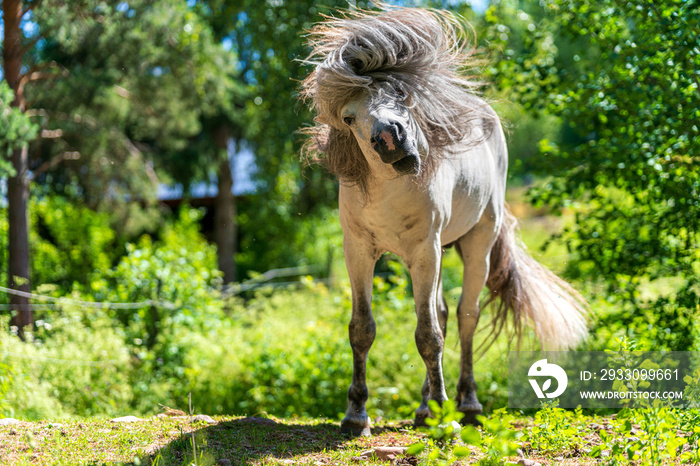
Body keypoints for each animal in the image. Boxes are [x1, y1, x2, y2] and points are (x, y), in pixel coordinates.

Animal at [300, 6, 584, 436]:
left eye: (398, 92)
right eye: (349, 118)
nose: (390, 138)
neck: (390, 193)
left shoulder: (425, 251)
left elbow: (427, 334)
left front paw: (445, 417)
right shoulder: (360, 252)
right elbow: (363, 329)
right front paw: (356, 414)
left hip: (475, 245)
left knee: (465, 317)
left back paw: (466, 404)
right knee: (445, 314)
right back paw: (425, 408)